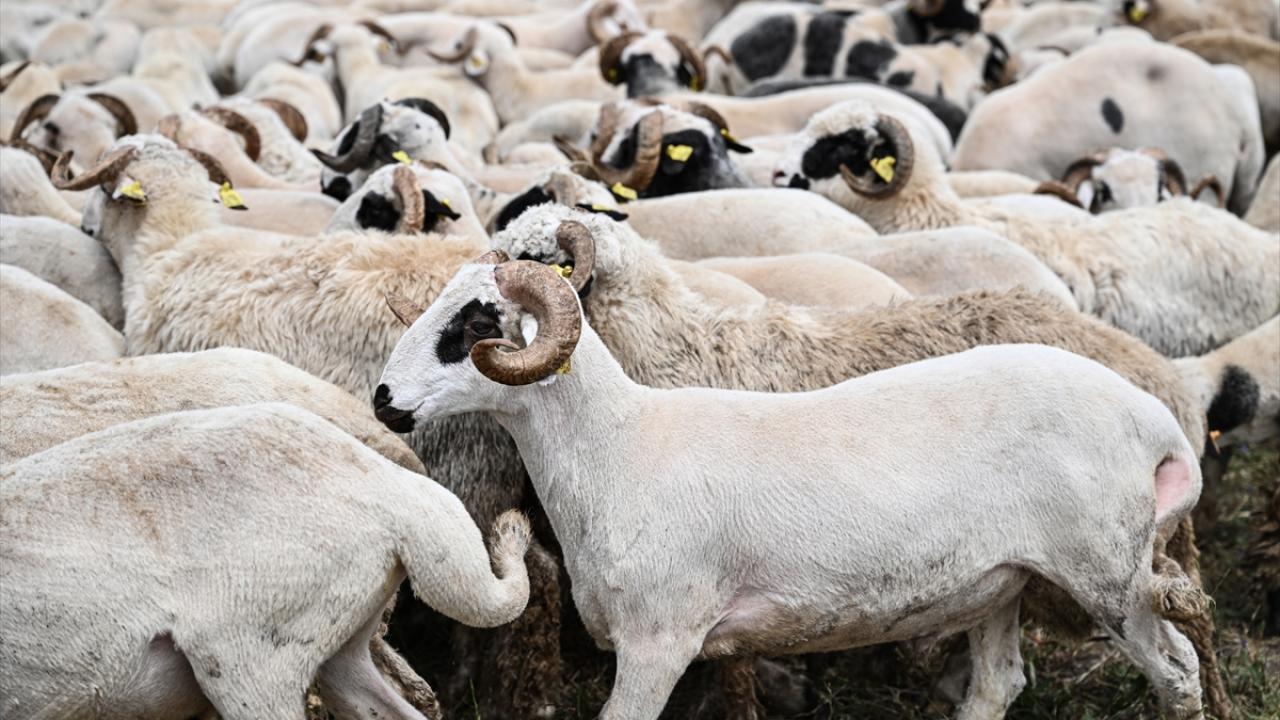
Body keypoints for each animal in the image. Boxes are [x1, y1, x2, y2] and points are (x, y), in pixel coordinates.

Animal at [373, 248, 1208, 717]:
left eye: (474, 325)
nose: (383, 401)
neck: (618, 448)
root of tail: (1155, 421)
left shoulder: (659, 639)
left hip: (1107, 573)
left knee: (1179, 672)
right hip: (1002, 581)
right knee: (998, 685)